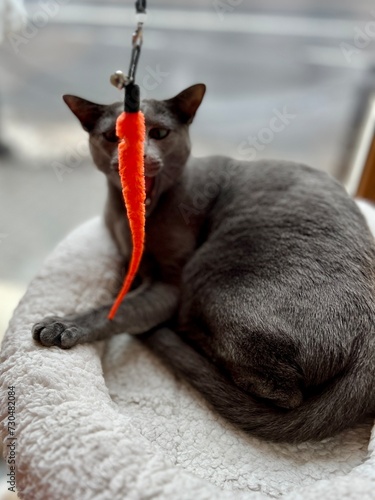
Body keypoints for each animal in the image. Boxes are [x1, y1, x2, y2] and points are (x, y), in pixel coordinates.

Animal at [33, 85, 375, 442]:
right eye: (113, 136)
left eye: (159, 133)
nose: (139, 156)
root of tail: (369, 347)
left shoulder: (170, 286)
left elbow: (118, 310)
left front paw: (63, 325)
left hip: (208, 274)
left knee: (283, 393)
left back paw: (186, 336)